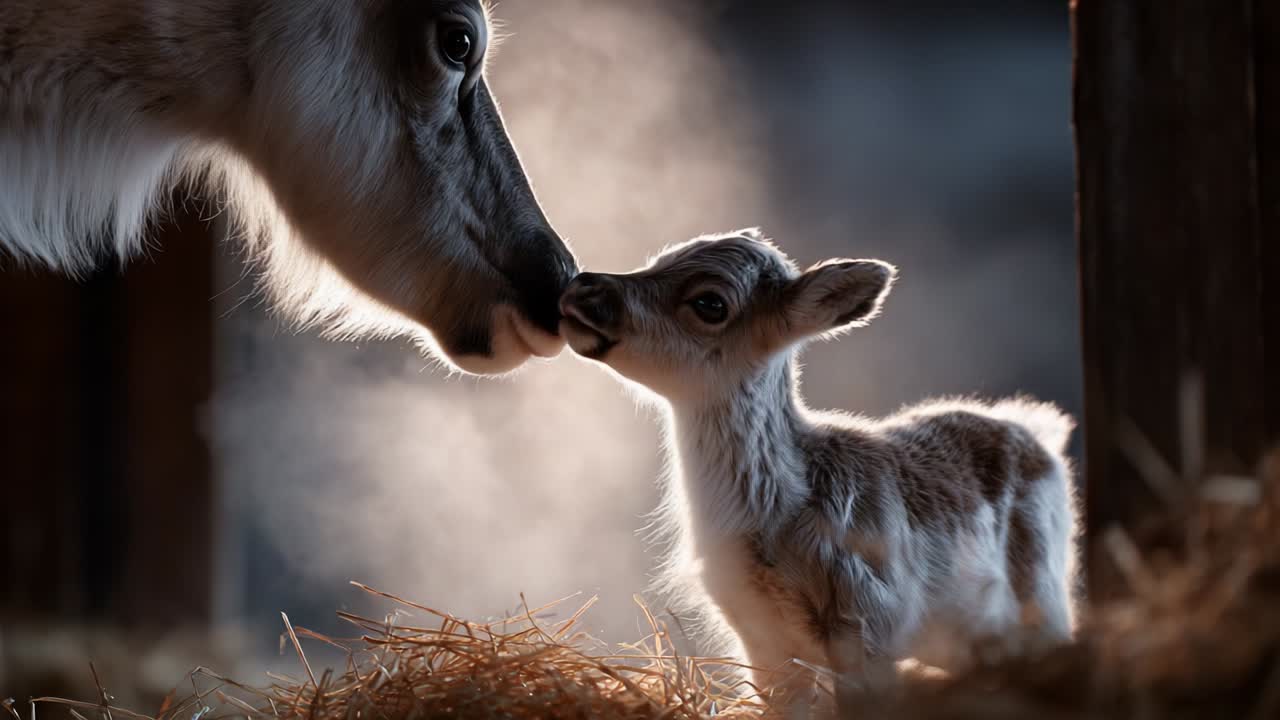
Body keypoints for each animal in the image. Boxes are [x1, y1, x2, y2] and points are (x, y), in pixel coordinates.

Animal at [559, 230, 1079, 717]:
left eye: (710, 302)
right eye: (659, 258)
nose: (582, 286)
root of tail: (1042, 434)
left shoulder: (868, 615)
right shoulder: (759, 636)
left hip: (1042, 594)